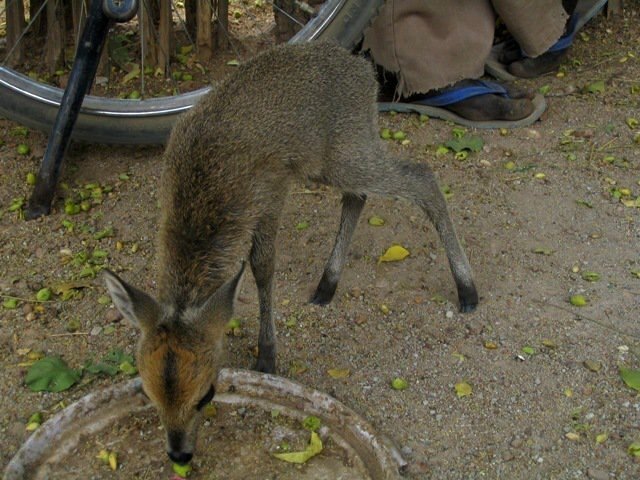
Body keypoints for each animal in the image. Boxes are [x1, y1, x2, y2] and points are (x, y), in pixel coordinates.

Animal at [104, 42, 476, 464]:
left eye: (207, 393)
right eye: (146, 392)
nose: (179, 454)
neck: (203, 191)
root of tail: (363, 68)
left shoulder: (270, 195)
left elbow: (263, 267)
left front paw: (267, 356)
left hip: (347, 153)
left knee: (422, 176)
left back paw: (467, 289)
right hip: (333, 162)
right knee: (358, 196)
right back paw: (327, 285)